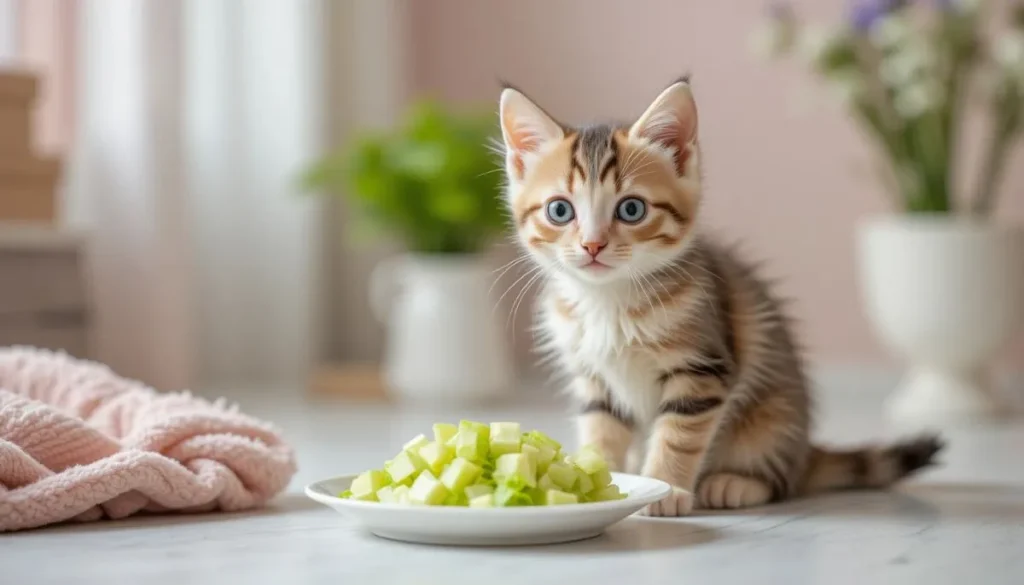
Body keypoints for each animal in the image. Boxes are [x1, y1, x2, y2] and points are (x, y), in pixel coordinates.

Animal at [495, 77, 942, 516]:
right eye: (559, 211)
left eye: (632, 210)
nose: (592, 245)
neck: (609, 300)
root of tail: (804, 452)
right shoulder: (594, 379)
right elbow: (601, 428)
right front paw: (596, 476)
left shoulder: (701, 368)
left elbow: (678, 434)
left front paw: (667, 488)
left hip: (772, 417)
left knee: (780, 481)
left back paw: (736, 483)